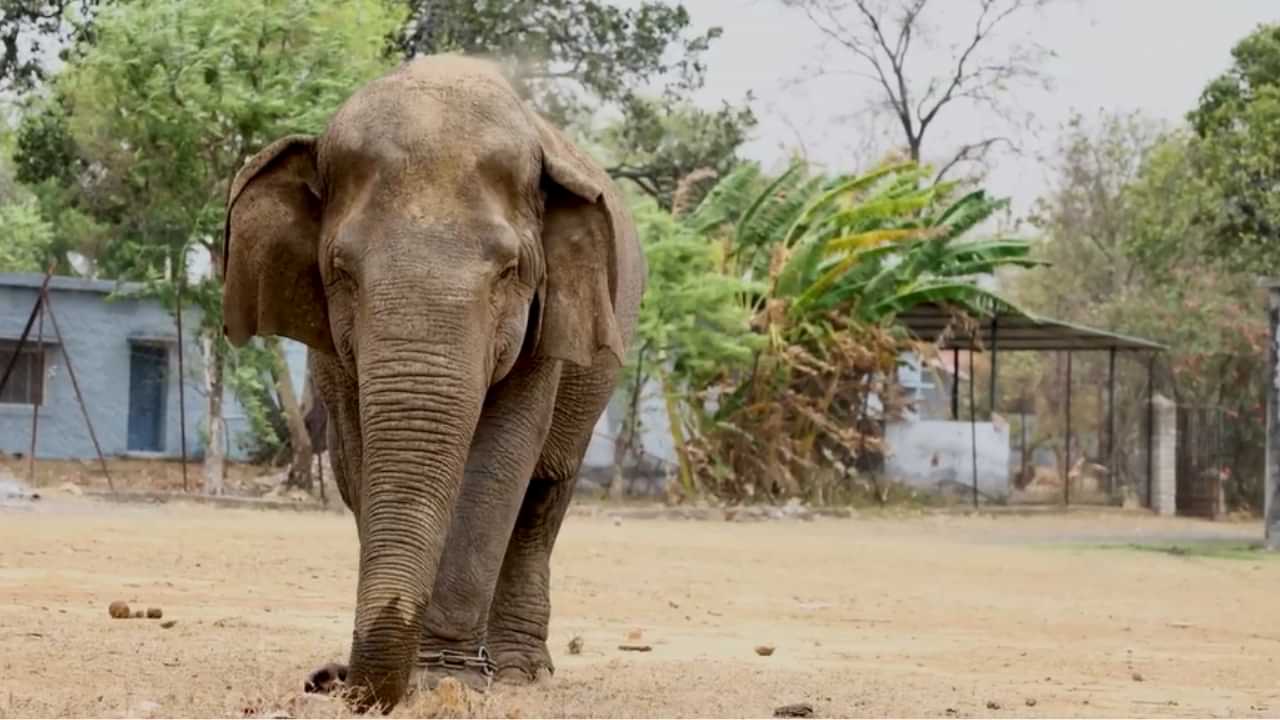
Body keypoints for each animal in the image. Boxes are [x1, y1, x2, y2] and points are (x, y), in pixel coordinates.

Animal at [221, 54, 646, 712]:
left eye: (510, 271)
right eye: (340, 270)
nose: (327, 680)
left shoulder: (543, 324)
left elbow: (500, 461)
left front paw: (447, 681)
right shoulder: (331, 349)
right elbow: (355, 459)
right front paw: (428, 675)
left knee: (545, 491)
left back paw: (519, 671)